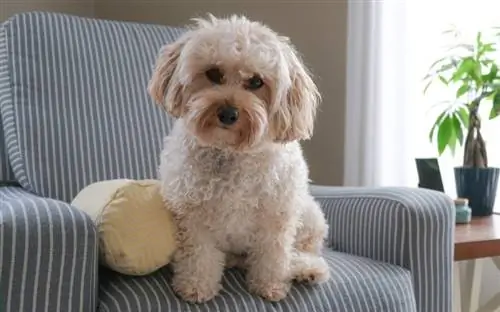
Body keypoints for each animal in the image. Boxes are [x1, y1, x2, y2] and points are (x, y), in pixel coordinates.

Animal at [146, 14, 330, 302]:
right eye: (213, 74)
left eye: (256, 82)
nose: (228, 113)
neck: (231, 151)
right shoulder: (192, 216)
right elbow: (199, 256)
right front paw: (196, 286)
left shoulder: (276, 216)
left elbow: (273, 256)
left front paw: (270, 285)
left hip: (309, 215)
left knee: (303, 251)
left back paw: (306, 269)